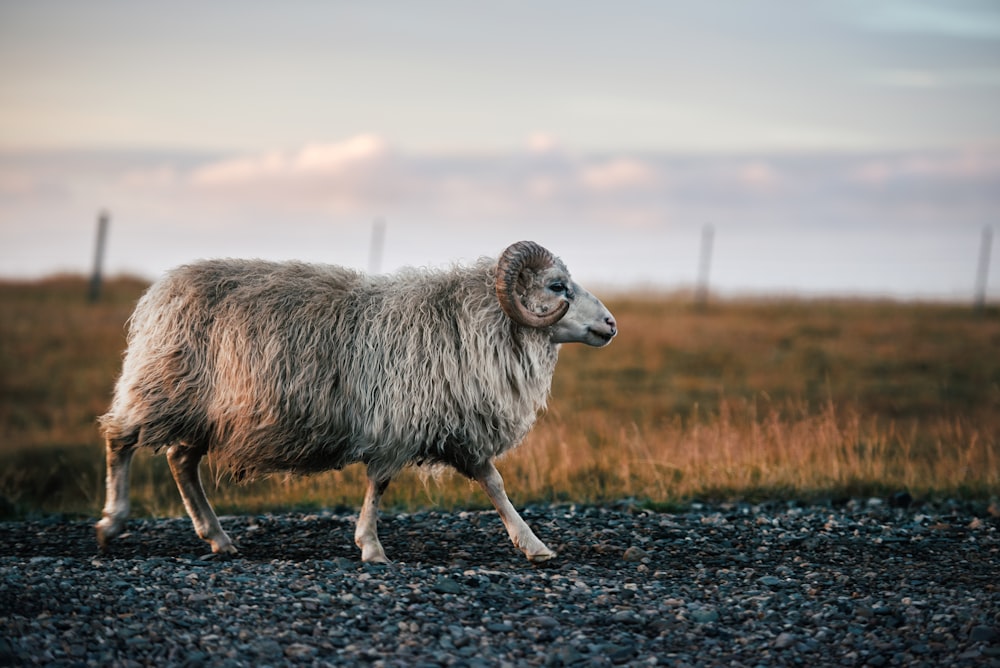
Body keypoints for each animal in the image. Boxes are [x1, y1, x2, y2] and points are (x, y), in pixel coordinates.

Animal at [99, 240, 616, 564]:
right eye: (557, 287)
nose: (611, 325)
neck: (471, 321)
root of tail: (161, 289)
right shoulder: (397, 423)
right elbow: (379, 484)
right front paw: (371, 548)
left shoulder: (457, 427)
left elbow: (495, 484)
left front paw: (533, 545)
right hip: (160, 386)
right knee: (120, 438)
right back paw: (111, 522)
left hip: (201, 411)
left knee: (180, 461)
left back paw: (218, 538)